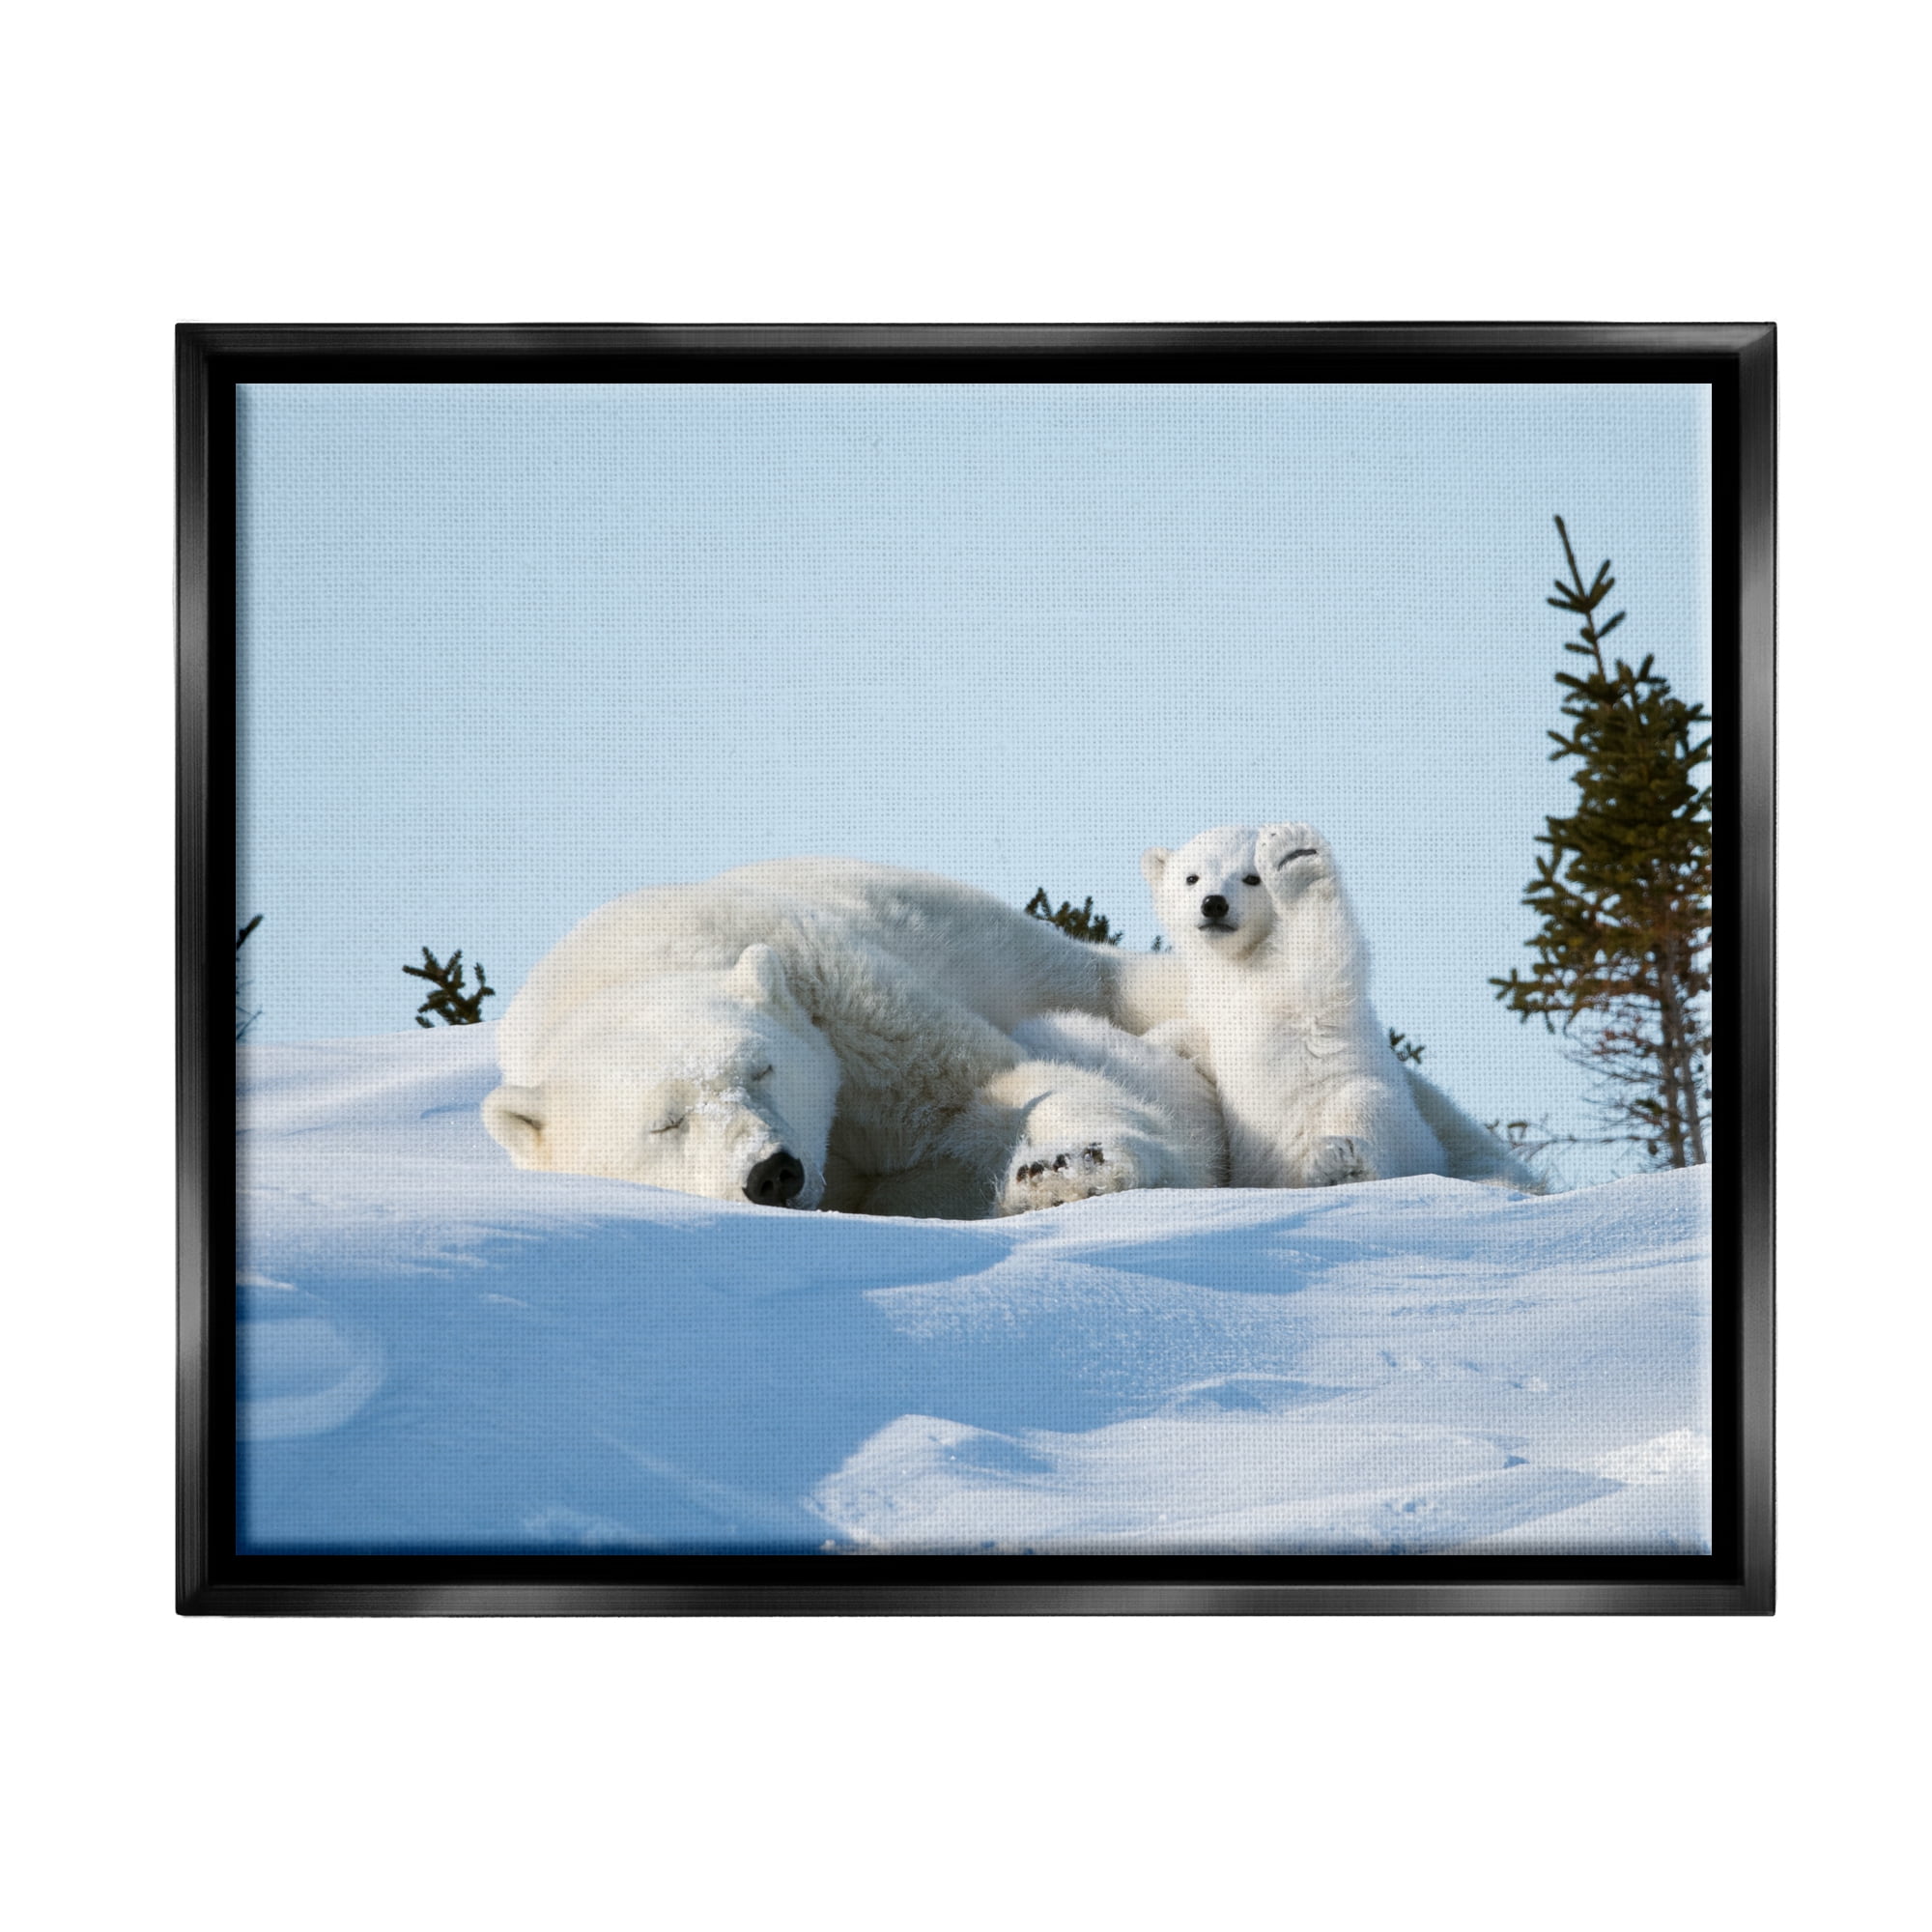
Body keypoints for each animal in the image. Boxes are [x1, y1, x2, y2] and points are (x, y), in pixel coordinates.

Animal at [482, 858, 1214, 1219]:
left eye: (762, 1069)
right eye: (665, 1124)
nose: (772, 1173)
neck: (631, 966)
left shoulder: (835, 996)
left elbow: (986, 1087)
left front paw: (1071, 1168)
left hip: (1030, 955)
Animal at [1142, 823, 1543, 1192]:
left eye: (1252, 878)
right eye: (1191, 877)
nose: (1213, 903)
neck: (1241, 962)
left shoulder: (1302, 988)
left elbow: (1319, 958)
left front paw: (1294, 857)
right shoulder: (1210, 1003)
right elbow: (1199, 1038)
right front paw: (1157, 1042)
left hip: (1386, 1119)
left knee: (1365, 1109)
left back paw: (1339, 1164)